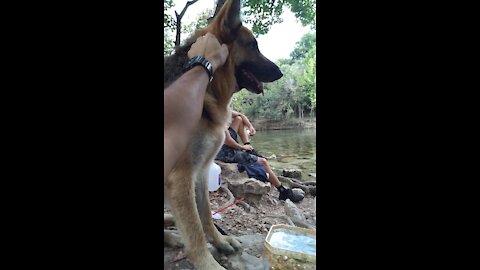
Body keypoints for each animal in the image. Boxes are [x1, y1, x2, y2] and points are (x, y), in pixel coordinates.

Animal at [163, 1, 284, 268]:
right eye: (253, 45)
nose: (280, 72)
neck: (209, 87)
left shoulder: (201, 169)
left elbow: (205, 215)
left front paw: (220, 242)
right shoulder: (181, 176)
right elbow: (194, 229)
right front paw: (208, 263)